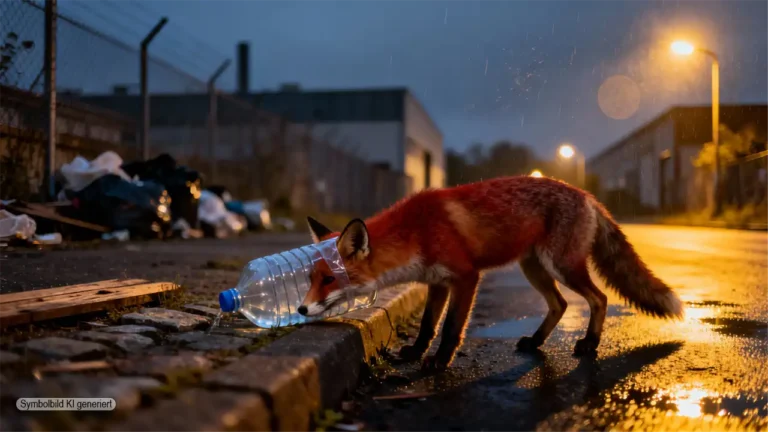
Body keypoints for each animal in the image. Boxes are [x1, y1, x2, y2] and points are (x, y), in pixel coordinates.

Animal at [297, 175, 683, 371]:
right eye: (309, 279)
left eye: (329, 279)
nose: (300, 308)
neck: (418, 230)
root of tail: (589, 196)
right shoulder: (437, 282)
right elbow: (427, 326)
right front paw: (416, 352)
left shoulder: (466, 277)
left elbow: (451, 328)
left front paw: (439, 361)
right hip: (534, 268)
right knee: (559, 305)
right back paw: (536, 341)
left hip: (562, 266)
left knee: (599, 298)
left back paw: (589, 343)